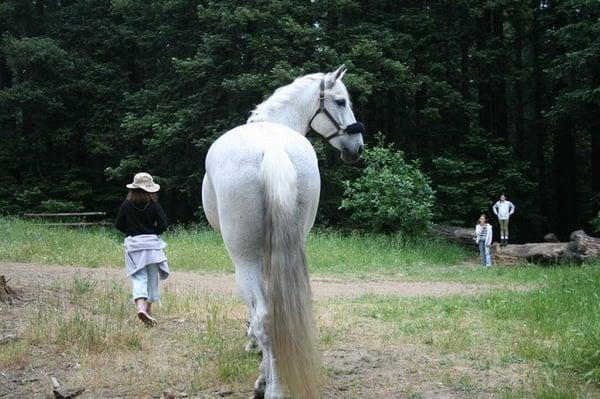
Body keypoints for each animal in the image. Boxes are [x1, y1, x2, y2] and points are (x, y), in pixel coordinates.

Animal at [202, 67, 364, 398]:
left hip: (244, 258)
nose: (358, 147)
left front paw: (253, 348)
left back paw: (270, 386)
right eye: (341, 101)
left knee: (265, 316)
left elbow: (254, 309)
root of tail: (272, 149)